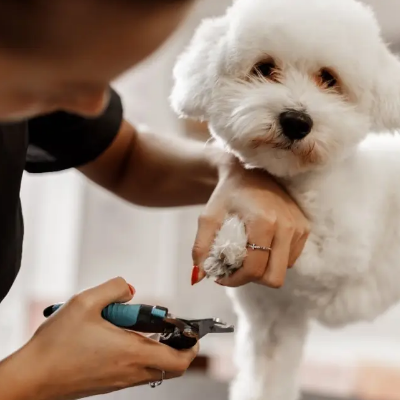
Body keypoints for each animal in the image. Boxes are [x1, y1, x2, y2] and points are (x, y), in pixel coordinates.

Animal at [170, 1, 400, 399]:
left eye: (329, 78)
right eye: (264, 68)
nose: (296, 121)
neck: (300, 183)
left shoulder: (341, 252)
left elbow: (303, 247)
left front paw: (233, 246)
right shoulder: (273, 319)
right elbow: (266, 380)